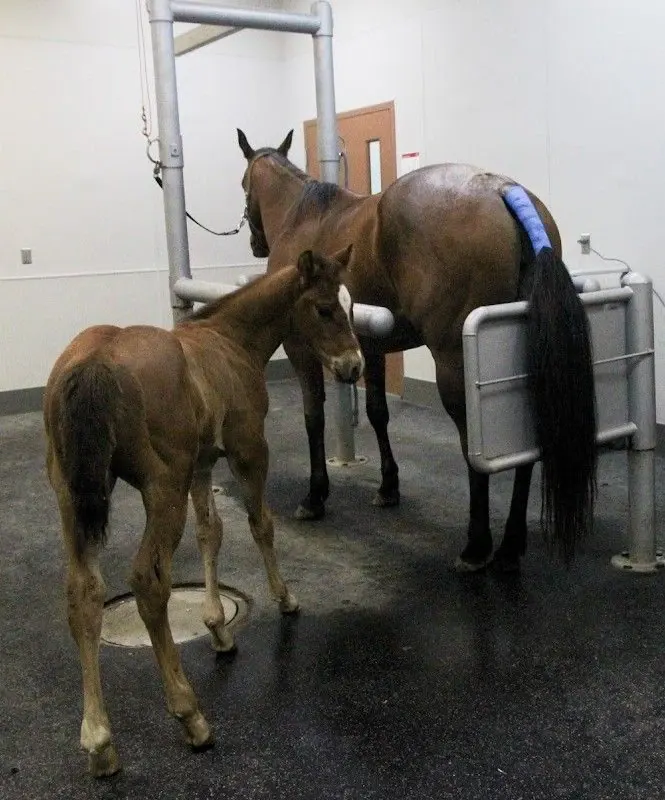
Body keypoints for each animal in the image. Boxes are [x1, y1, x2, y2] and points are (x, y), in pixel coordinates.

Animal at [44, 249, 363, 777]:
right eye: (323, 309)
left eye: (351, 304)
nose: (354, 367)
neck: (230, 341)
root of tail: (95, 361)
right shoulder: (247, 450)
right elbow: (259, 524)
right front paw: (285, 598)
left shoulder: (202, 463)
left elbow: (211, 531)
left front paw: (217, 628)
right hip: (162, 487)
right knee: (149, 582)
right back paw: (191, 716)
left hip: (72, 494)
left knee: (82, 593)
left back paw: (99, 741)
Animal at [236, 128, 597, 574]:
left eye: (244, 184)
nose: (255, 243)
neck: (303, 219)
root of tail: (502, 189)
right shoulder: (370, 348)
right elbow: (377, 412)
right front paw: (388, 486)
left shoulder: (302, 350)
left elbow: (313, 419)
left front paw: (315, 495)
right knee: (523, 450)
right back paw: (511, 545)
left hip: (455, 368)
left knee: (474, 449)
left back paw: (477, 545)